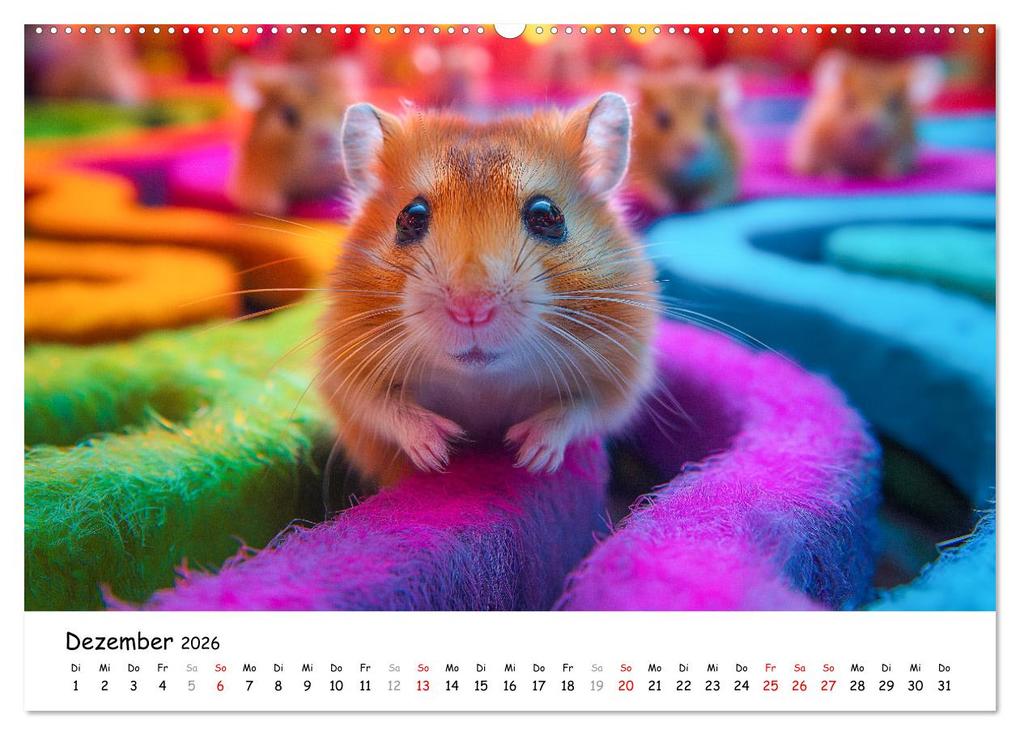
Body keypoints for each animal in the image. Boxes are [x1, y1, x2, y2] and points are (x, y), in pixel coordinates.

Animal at [317, 94, 658, 486]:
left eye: (548, 215)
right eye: (410, 217)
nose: (471, 310)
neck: (483, 380)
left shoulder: (621, 376)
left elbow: (579, 410)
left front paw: (528, 453)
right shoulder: (344, 374)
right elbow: (382, 408)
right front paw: (441, 449)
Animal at [629, 68, 742, 213]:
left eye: (712, 118)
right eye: (662, 119)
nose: (692, 149)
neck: (684, 175)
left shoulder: (726, 173)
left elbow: (717, 193)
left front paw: (696, 205)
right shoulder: (641, 170)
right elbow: (651, 188)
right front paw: (668, 205)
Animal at [789, 52, 944, 178]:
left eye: (894, 104)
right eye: (848, 100)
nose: (868, 127)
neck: (862, 150)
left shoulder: (901, 149)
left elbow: (890, 163)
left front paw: (890, 176)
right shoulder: (817, 145)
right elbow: (829, 163)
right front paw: (836, 176)